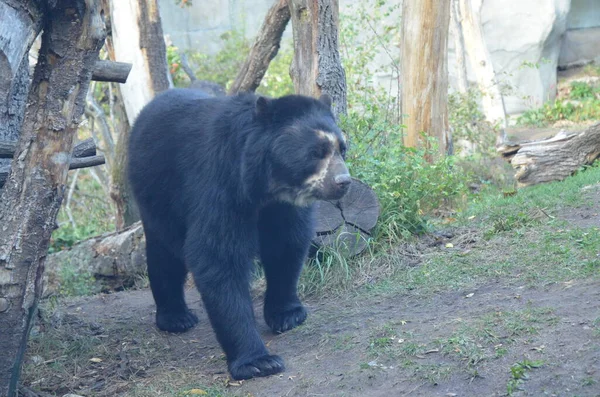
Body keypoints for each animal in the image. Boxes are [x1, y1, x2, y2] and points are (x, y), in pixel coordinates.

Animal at [127, 88, 352, 378]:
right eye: (316, 152)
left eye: (342, 149)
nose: (343, 182)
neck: (266, 186)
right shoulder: (220, 185)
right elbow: (219, 258)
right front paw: (259, 361)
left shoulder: (282, 207)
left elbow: (287, 246)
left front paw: (288, 315)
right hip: (157, 196)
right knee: (164, 257)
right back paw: (177, 318)